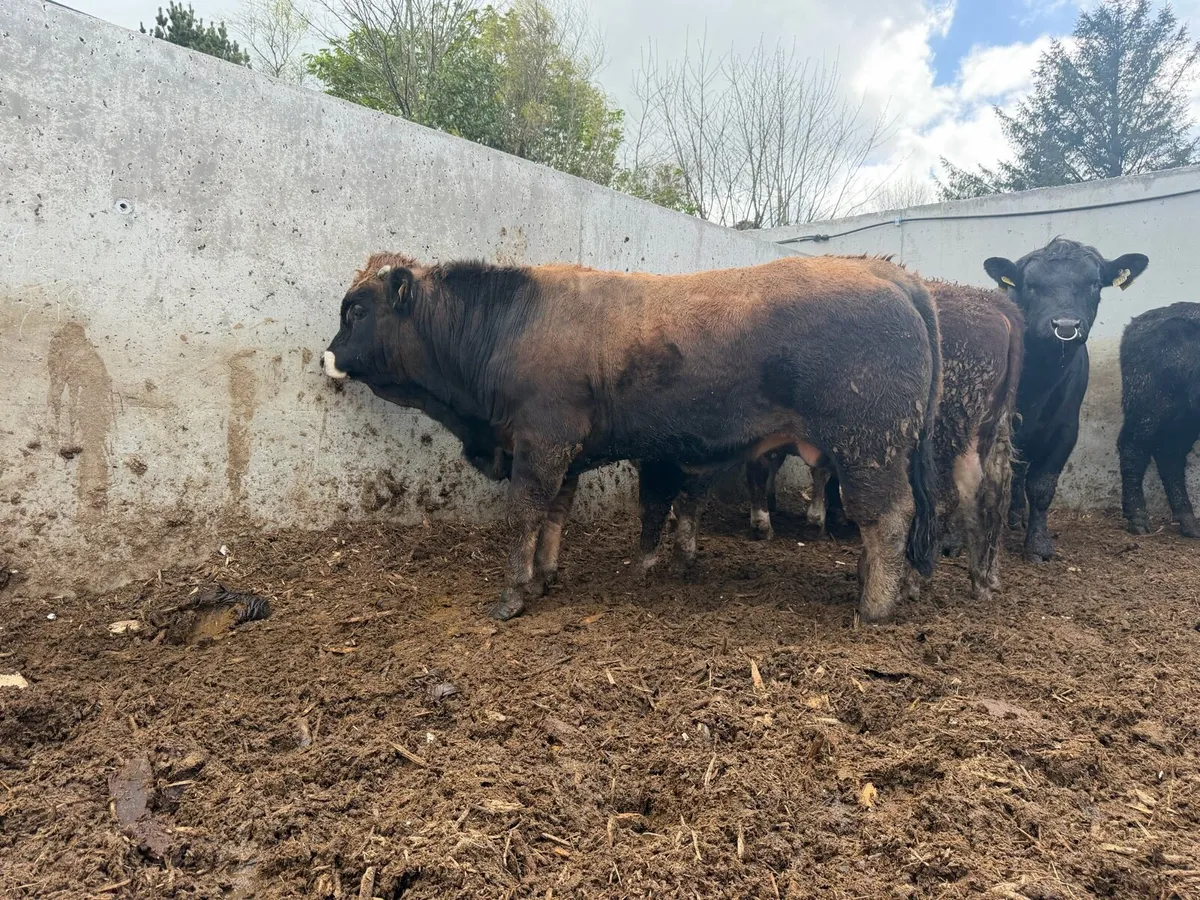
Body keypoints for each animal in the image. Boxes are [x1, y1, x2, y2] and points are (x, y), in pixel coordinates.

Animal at [322, 252, 941, 622]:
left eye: (356, 309)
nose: (326, 355)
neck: (512, 327)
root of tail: (891, 276)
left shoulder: (541, 444)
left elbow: (525, 514)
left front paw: (513, 594)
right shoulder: (566, 457)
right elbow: (555, 516)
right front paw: (544, 578)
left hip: (869, 447)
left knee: (887, 518)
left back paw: (874, 607)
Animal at [738, 280, 1024, 602]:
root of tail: (996, 305)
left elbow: (766, 466)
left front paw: (767, 522)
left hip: (941, 431)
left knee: (940, 500)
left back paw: (908, 581)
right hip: (981, 432)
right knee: (990, 494)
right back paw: (983, 580)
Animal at [981, 238, 1148, 561]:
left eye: (1094, 283)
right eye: (1030, 285)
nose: (1066, 325)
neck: (1037, 379)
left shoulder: (1065, 429)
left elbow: (1042, 486)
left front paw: (1038, 545)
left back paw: (1017, 518)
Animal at [1119, 302, 1200, 538]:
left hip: (1184, 418)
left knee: (1170, 456)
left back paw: (1189, 523)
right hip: (1149, 407)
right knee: (1133, 450)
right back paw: (1138, 519)